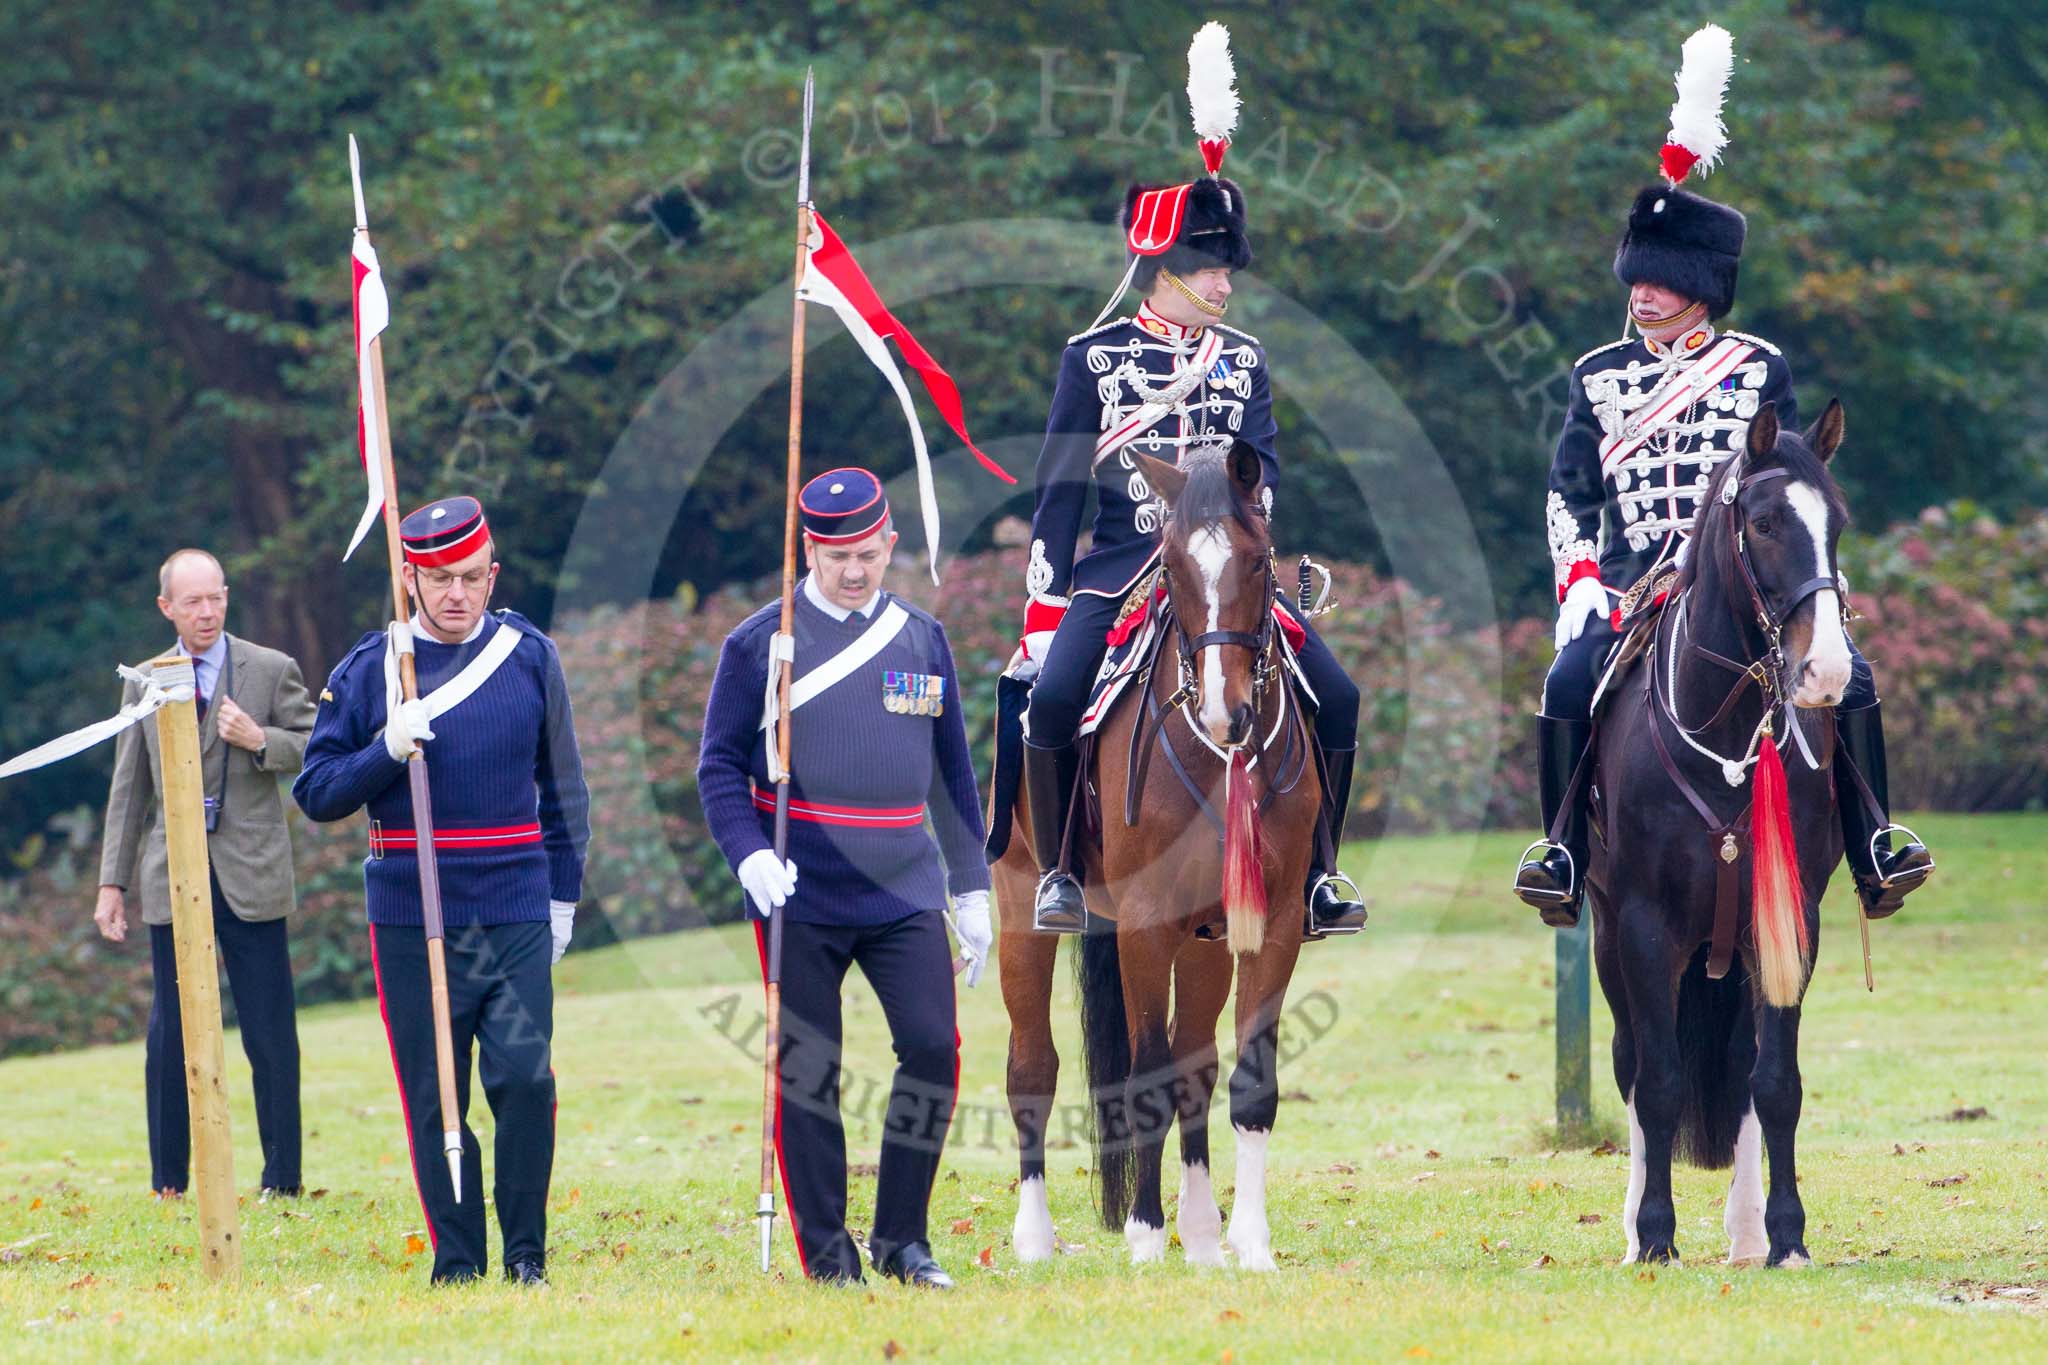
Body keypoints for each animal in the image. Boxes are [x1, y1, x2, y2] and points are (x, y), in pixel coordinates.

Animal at [995, 446, 1327, 1268]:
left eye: (1258, 559)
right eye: (1171, 567)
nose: (1224, 711)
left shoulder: (1270, 922)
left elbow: (1247, 1081)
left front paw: (1251, 1245)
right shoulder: (1144, 925)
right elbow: (1141, 1079)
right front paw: (1145, 1238)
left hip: (1205, 938)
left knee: (1195, 1065)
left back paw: (1203, 1237)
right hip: (1019, 909)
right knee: (1032, 1067)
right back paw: (1035, 1237)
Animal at [1589, 397, 1867, 1268]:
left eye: (1838, 521)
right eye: (1767, 522)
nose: (1827, 673)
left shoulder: (1789, 919)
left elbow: (1774, 1081)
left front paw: (1786, 1235)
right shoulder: (1643, 926)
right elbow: (1659, 1082)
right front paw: (1653, 1234)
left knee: (1742, 1067)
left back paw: (1746, 1231)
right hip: (1607, 934)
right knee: (1631, 1063)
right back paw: (1634, 1223)